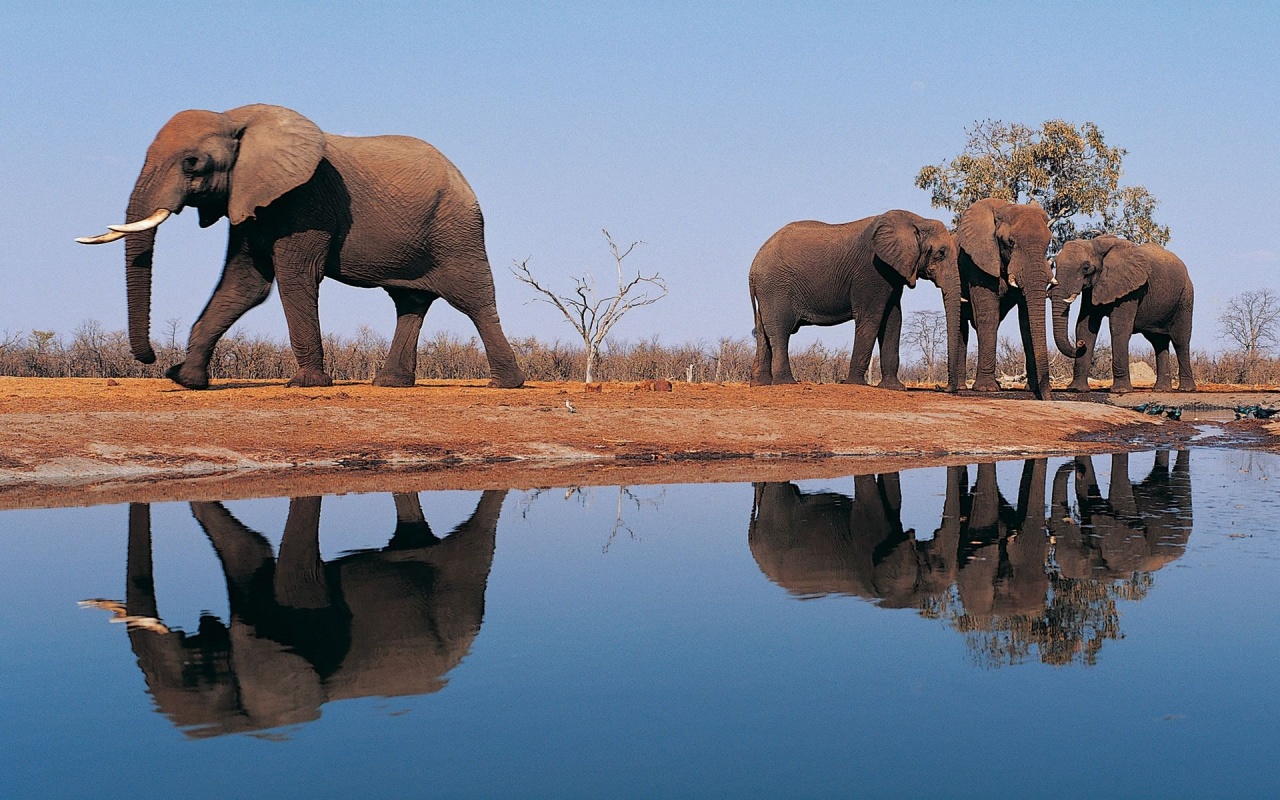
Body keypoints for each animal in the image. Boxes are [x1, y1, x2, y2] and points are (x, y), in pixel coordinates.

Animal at [76, 103, 524, 389]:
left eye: (192, 163)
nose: (151, 358)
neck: (236, 119)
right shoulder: (251, 201)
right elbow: (244, 285)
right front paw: (186, 380)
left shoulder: (305, 199)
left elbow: (295, 278)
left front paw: (307, 384)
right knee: (408, 302)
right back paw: (389, 385)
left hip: (458, 230)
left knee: (474, 299)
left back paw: (506, 385)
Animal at [747, 208, 962, 389]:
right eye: (941, 253)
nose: (941, 387)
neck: (916, 220)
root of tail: (753, 265)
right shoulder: (871, 271)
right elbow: (871, 318)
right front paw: (855, 384)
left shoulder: (893, 273)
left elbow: (893, 320)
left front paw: (894, 388)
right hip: (776, 287)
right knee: (780, 331)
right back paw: (786, 383)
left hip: (768, 291)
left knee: (763, 331)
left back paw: (760, 385)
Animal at [957, 199, 1054, 399]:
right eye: (1009, 242)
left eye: (1049, 242)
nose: (1048, 397)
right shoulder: (978, 264)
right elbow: (988, 316)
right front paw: (986, 389)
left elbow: (1026, 321)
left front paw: (1032, 388)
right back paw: (962, 387)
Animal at [1049, 232, 1198, 391]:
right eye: (1055, 264)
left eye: (1086, 268)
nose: (1080, 344)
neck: (1095, 243)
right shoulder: (1092, 289)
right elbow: (1085, 327)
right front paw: (1077, 389)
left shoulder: (1131, 289)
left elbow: (1119, 328)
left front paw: (1121, 390)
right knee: (1159, 342)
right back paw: (1161, 389)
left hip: (1185, 297)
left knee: (1180, 340)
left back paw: (1186, 389)